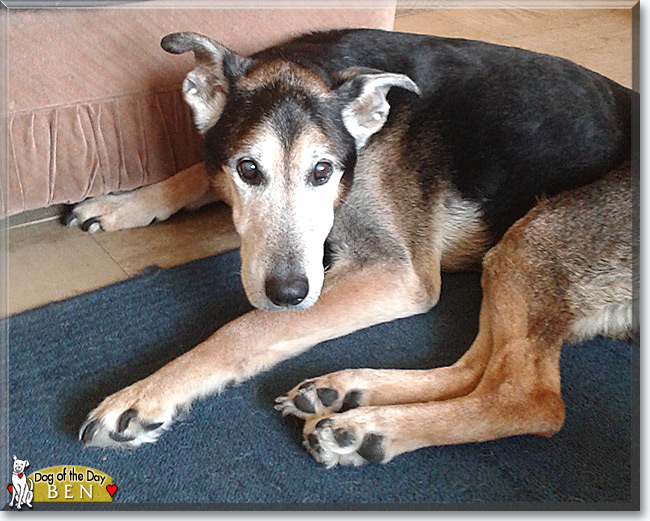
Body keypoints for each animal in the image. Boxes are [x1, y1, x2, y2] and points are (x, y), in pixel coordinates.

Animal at [72, 29, 632, 468]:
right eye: (248, 169)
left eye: (324, 171)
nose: (289, 293)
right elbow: (193, 174)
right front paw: (122, 204)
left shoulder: (395, 271)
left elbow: (246, 328)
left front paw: (145, 395)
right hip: (513, 258)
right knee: (480, 368)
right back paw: (346, 392)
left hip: (536, 238)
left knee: (528, 398)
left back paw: (369, 429)